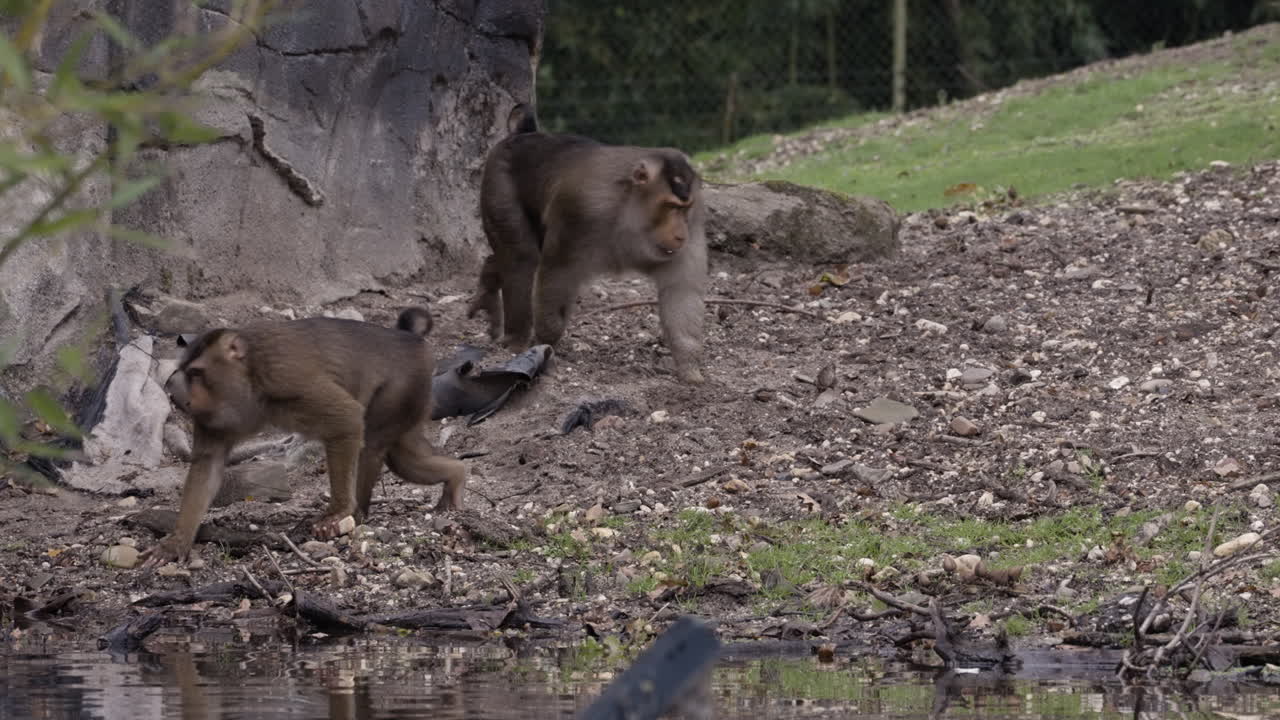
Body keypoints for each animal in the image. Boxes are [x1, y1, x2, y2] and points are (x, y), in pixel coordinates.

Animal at [139, 308, 466, 569]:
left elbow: (346, 418)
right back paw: (457, 475)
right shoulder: (214, 418)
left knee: (372, 444)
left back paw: (358, 513)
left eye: (196, 373)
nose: (177, 396)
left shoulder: (284, 375)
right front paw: (177, 542)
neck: (248, 375)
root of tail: (413, 341)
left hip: (404, 384)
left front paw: (338, 511)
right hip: (415, 397)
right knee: (403, 457)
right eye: (186, 372)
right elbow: (208, 465)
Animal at [466, 102, 709, 384]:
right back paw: (515, 339)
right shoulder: (580, 209)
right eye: (671, 206)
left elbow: (681, 289)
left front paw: (689, 369)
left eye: (685, 208)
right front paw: (545, 343)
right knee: (521, 258)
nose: (681, 235)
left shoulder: (695, 217)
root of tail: (524, 135)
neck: (630, 211)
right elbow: (557, 273)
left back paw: (489, 280)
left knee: (508, 255)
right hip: (498, 182)